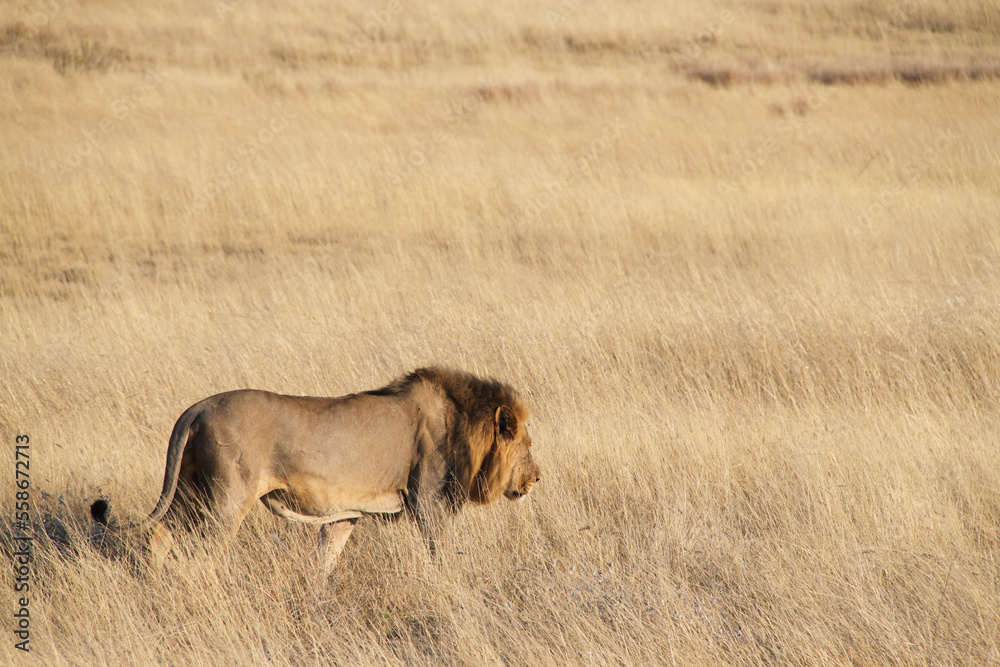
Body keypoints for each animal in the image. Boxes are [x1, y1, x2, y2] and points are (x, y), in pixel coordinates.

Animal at [90, 367, 540, 573]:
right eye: (528, 445)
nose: (537, 478)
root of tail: (196, 408)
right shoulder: (428, 503)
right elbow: (441, 554)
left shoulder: (347, 512)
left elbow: (327, 559)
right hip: (226, 499)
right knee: (204, 551)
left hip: (190, 488)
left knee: (161, 534)